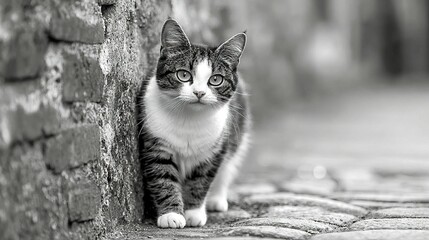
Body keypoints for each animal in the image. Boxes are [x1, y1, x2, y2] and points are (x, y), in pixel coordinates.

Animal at [139, 19, 249, 228]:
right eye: (183, 75)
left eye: (216, 79)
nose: (199, 93)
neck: (189, 118)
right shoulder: (157, 143)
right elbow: (163, 177)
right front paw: (171, 215)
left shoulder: (213, 150)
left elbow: (200, 181)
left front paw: (194, 213)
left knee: (227, 166)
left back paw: (216, 199)